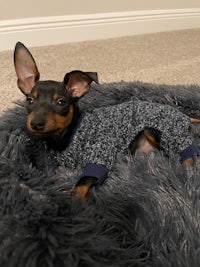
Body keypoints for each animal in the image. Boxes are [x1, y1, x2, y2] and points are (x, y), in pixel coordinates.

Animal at [14, 42, 200, 201]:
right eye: (29, 101)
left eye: (61, 102)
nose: (35, 123)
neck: (67, 136)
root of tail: (184, 115)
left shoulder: (98, 159)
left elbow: (79, 186)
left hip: (159, 130)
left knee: (188, 154)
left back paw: (186, 173)